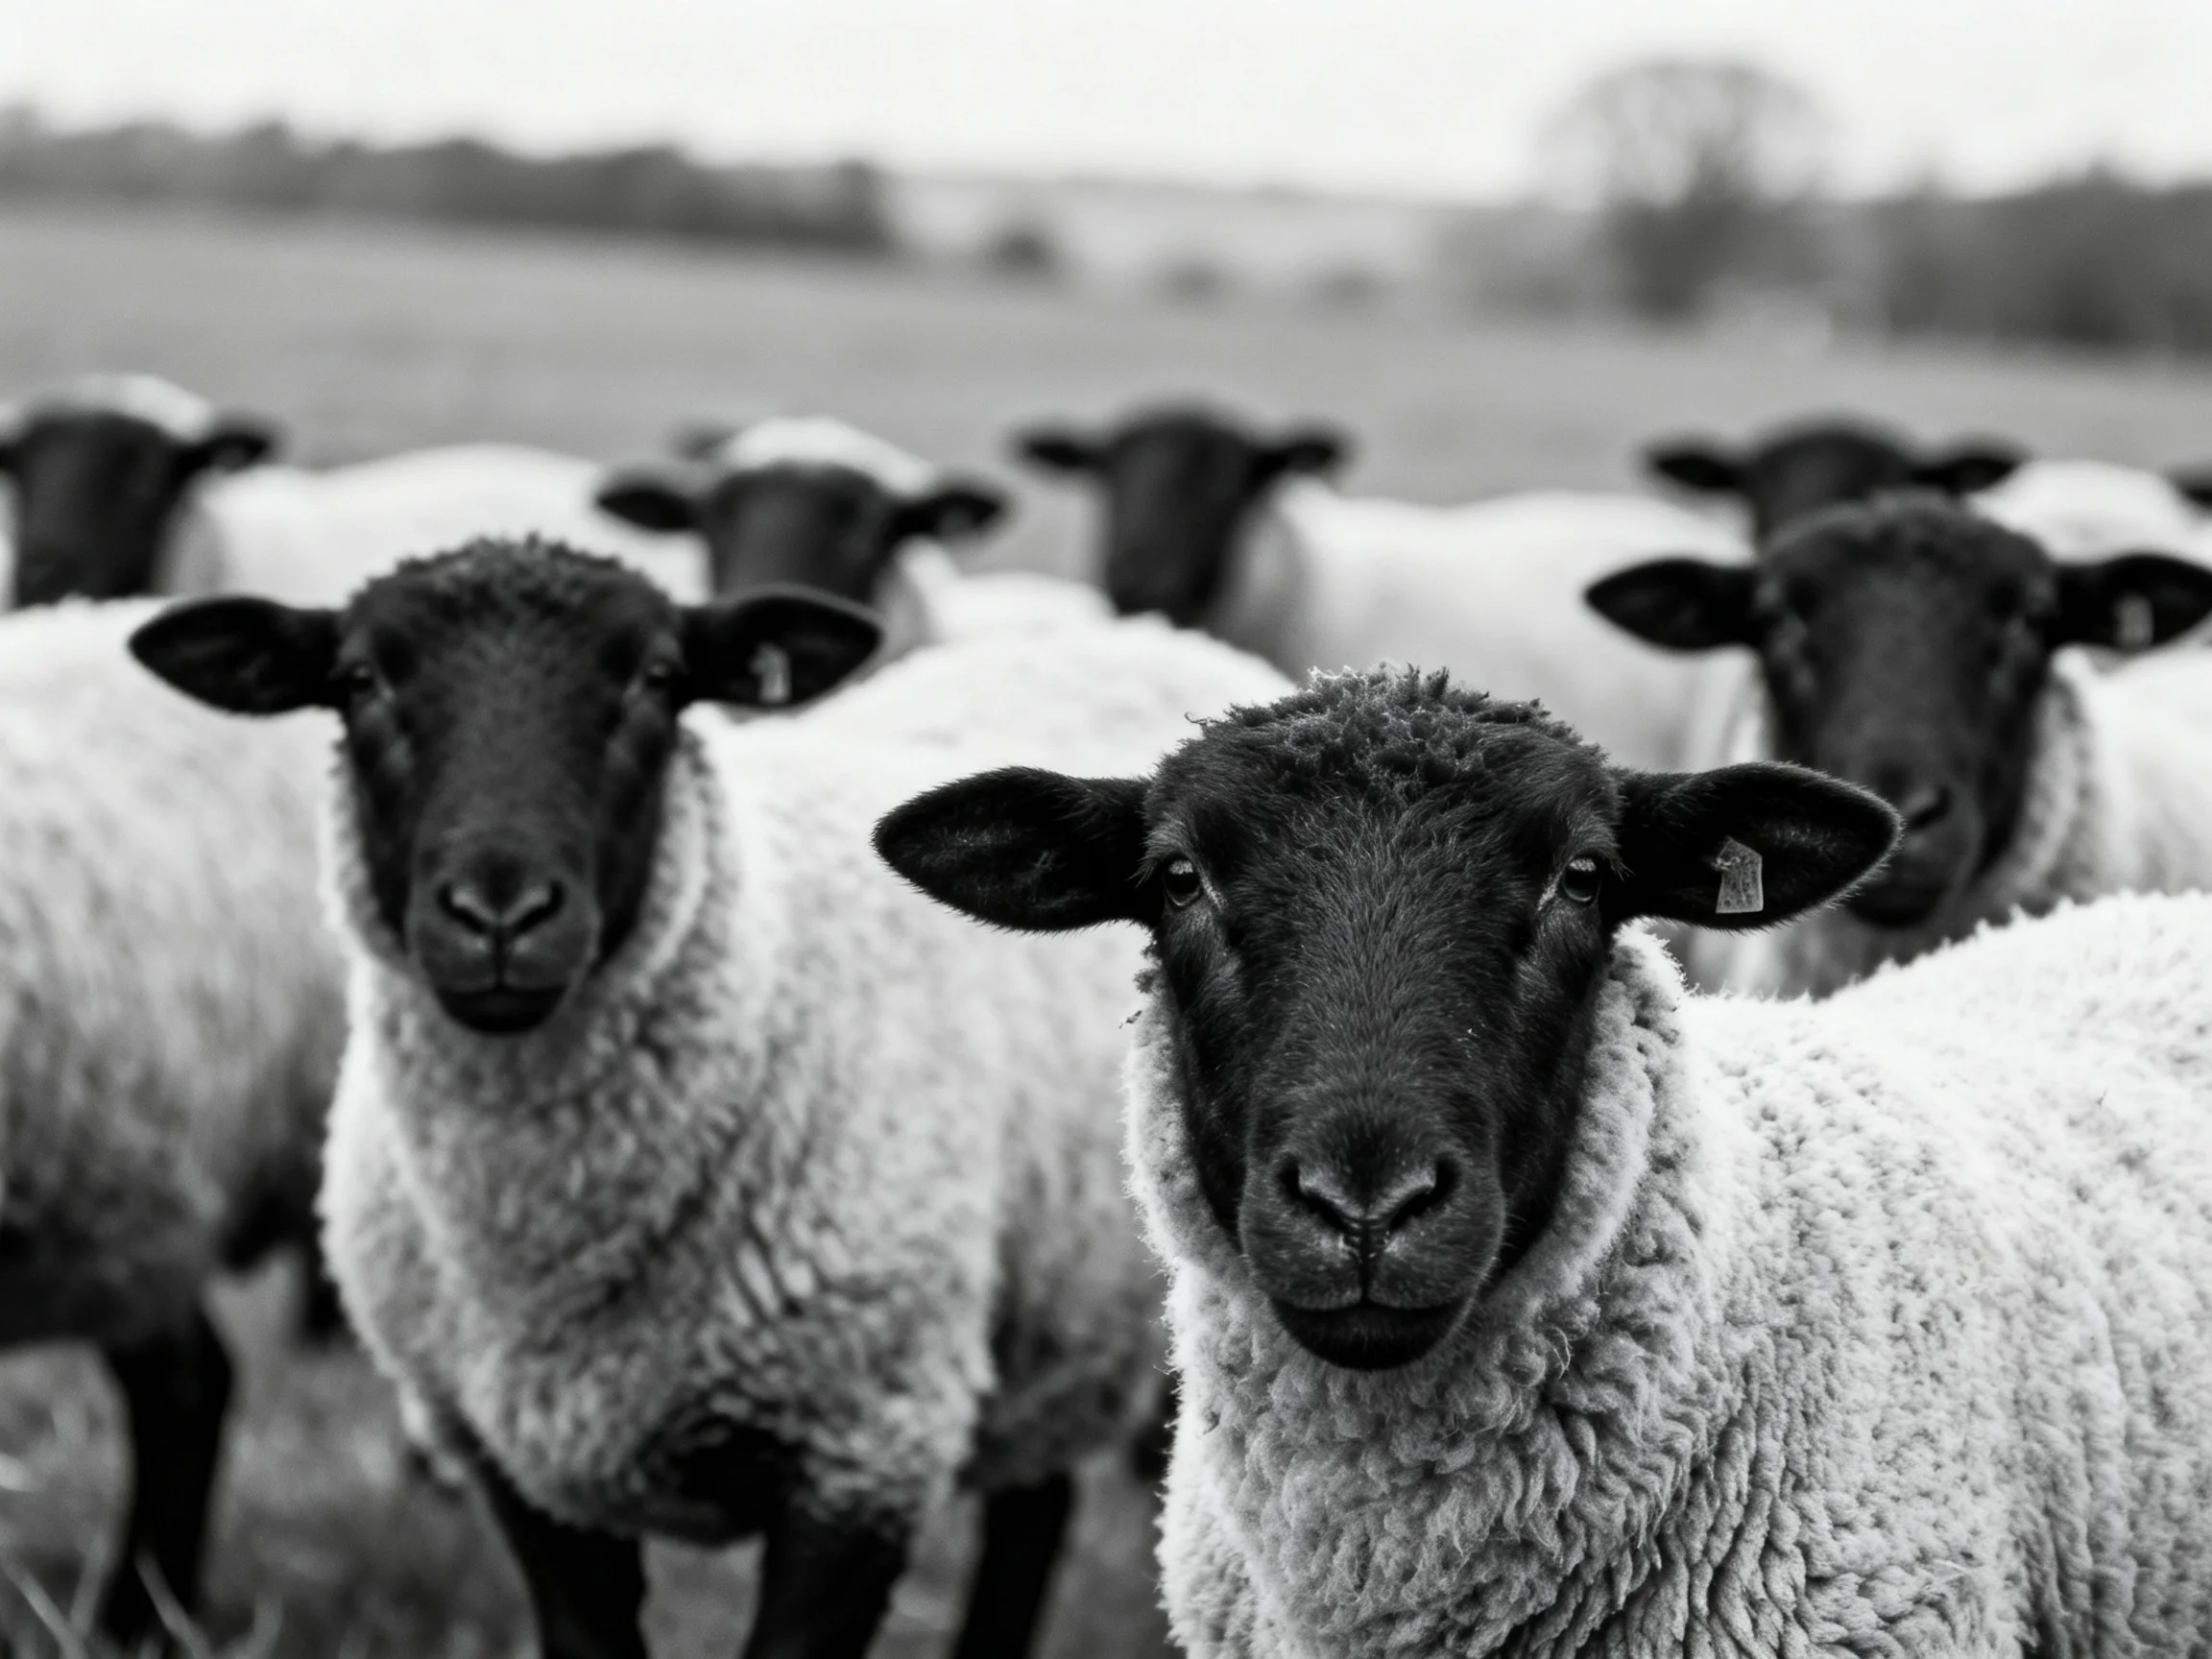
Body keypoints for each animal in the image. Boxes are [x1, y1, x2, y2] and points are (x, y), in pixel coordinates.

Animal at [129, 539, 1291, 1659]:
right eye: (360, 681)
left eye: (655, 679)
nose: (500, 915)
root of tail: (1146, 635)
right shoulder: (520, 1470)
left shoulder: (862, 1446)